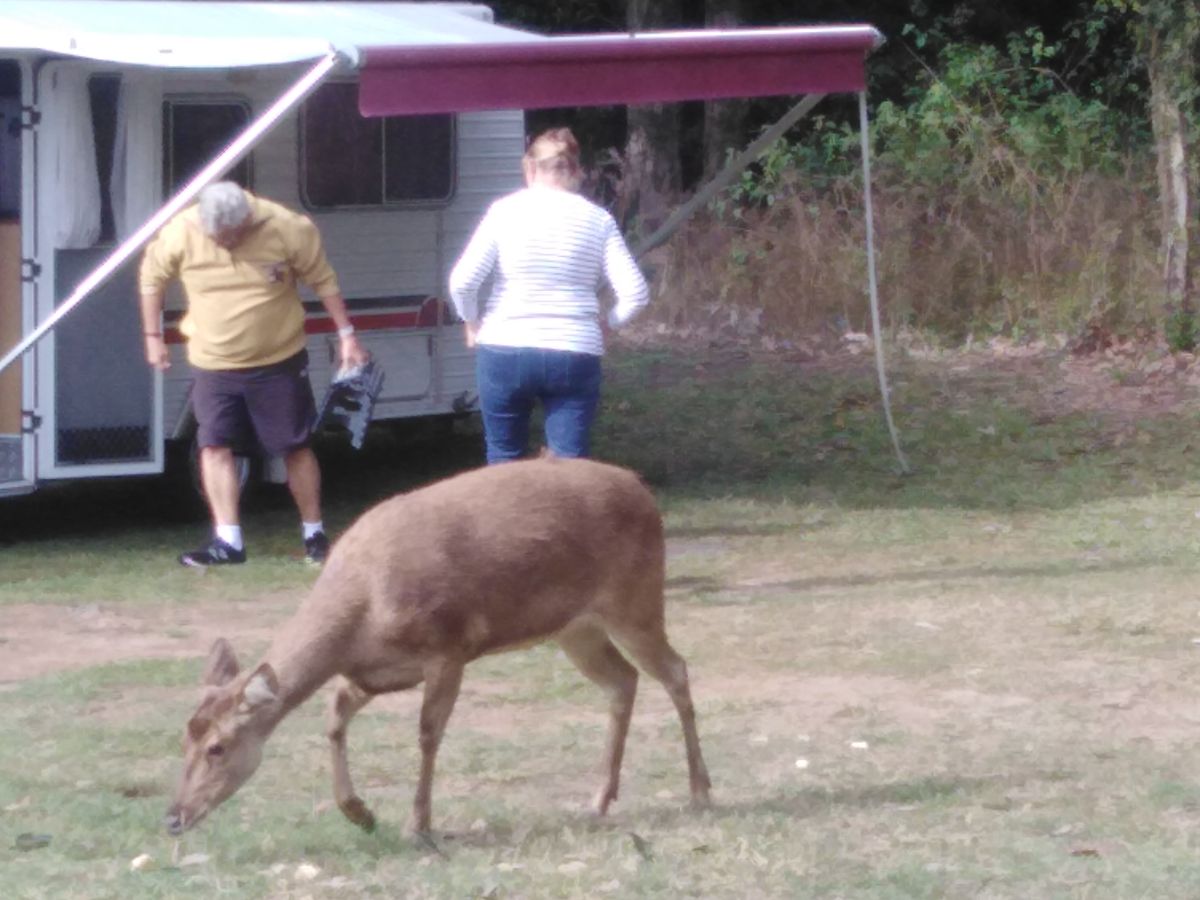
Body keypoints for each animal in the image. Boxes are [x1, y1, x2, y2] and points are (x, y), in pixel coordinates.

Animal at [166, 456, 712, 837]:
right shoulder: (372, 673)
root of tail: (643, 490)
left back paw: (700, 792)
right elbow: (334, 715)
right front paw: (360, 813)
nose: (173, 817)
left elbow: (429, 734)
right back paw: (598, 798)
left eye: (217, 747)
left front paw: (418, 824)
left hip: (635, 600)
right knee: (623, 680)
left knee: (677, 670)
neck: (361, 614)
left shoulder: (449, 646)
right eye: (182, 741)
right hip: (576, 629)